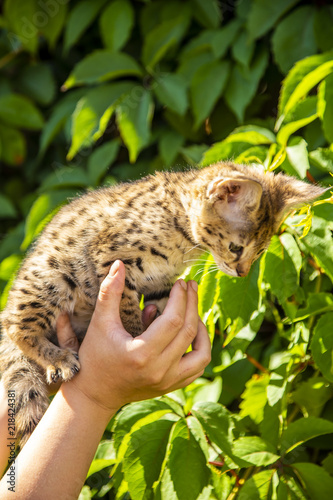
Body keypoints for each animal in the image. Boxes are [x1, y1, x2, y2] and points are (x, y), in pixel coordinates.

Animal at [0, 162, 322, 444]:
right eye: (235, 248)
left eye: (260, 252)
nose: (242, 274)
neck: (182, 235)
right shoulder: (109, 258)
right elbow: (126, 308)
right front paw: (135, 336)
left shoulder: (161, 283)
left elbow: (160, 306)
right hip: (51, 278)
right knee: (17, 326)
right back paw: (58, 358)